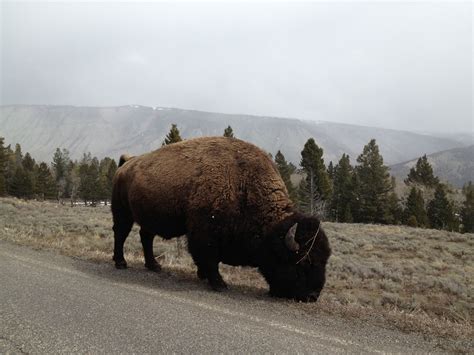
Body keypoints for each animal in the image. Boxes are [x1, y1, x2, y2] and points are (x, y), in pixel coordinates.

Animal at [113, 138, 332, 302]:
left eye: (325, 259)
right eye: (304, 263)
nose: (313, 296)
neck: (244, 186)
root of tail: (126, 163)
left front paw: (203, 276)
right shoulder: (205, 234)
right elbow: (209, 258)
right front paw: (219, 284)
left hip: (147, 217)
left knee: (146, 237)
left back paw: (153, 266)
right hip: (123, 212)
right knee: (121, 234)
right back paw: (121, 263)